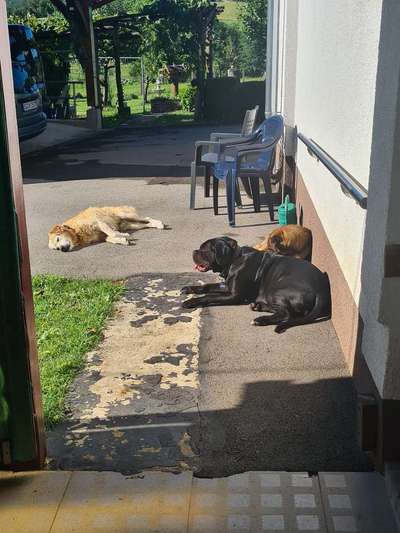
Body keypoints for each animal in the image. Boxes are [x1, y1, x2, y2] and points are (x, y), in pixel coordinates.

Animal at [182, 237, 332, 332]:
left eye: (204, 250)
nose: (194, 251)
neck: (234, 259)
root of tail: (322, 289)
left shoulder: (235, 296)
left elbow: (209, 296)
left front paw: (191, 301)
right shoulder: (226, 287)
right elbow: (206, 287)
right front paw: (189, 288)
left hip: (275, 289)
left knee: (286, 313)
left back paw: (261, 319)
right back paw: (258, 306)